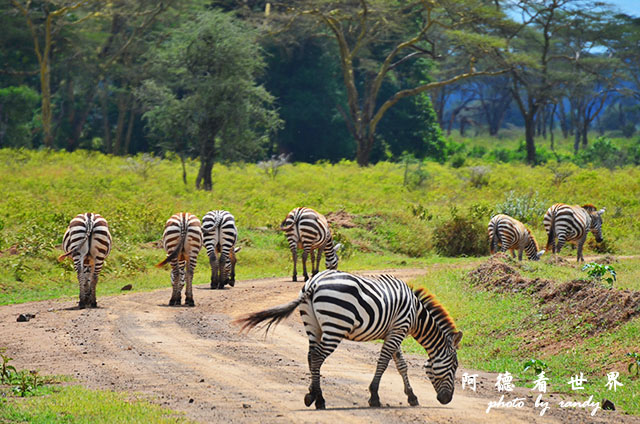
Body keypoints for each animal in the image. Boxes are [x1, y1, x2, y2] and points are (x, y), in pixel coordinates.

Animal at [238, 270, 462, 410]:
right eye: (454, 366)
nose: (447, 400)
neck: (416, 315)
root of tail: (314, 283)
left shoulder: (393, 331)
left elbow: (401, 365)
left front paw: (412, 396)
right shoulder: (398, 329)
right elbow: (384, 362)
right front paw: (374, 396)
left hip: (312, 324)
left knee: (311, 356)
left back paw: (311, 394)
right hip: (335, 326)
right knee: (317, 357)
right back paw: (320, 400)